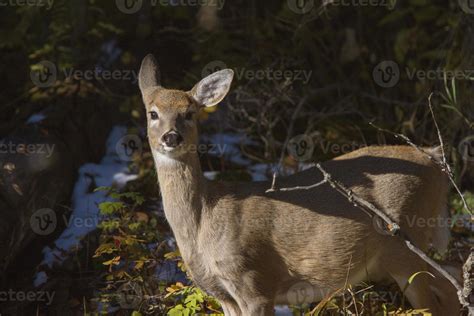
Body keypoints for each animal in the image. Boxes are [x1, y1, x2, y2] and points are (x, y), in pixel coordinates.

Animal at [136, 53, 460, 314]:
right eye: (153, 113)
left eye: (189, 113)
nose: (171, 137)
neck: (203, 221)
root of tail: (435, 160)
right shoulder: (223, 295)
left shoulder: (254, 283)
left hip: (405, 242)